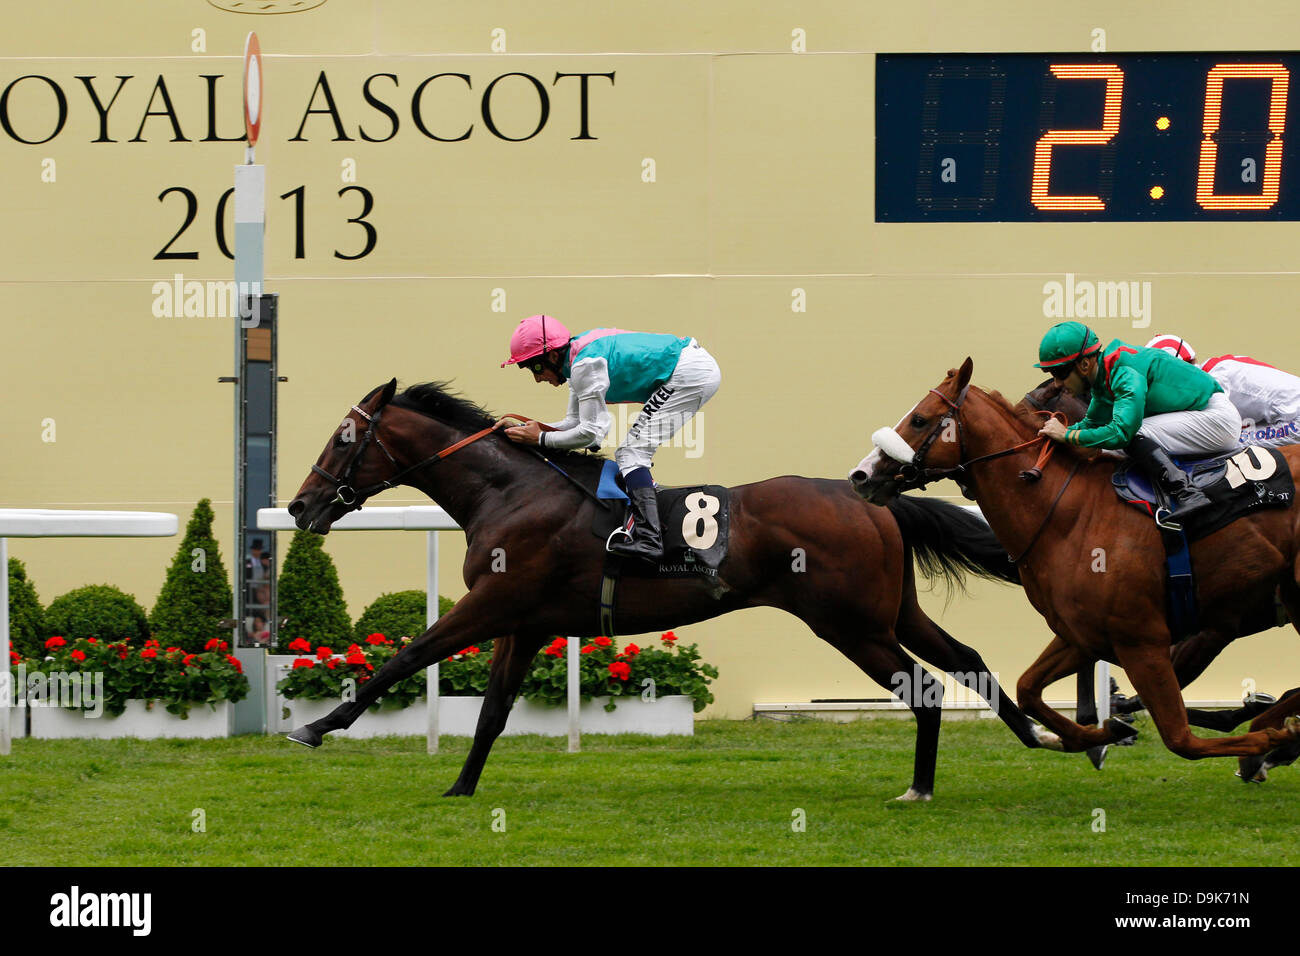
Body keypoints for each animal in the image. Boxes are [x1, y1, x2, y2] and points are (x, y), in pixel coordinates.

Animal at [289, 379, 1060, 801]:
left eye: (344, 438)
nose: (299, 507)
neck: (508, 492)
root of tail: (871, 495)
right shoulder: (525, 623)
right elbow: (490, 713)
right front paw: (461, 786)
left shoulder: (492, 606)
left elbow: (406, 656)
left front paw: (316, 726)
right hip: (890, 611)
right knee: (965, 658)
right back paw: (1041, 735)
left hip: (851, 625)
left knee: (924, 688)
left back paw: (922, 785)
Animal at [847, 358, 1300, 780]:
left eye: (919, 419)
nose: (860, 475)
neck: (1069, 511)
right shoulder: (1083, 634)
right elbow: (1028, 689)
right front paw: (1097, 735)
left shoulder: (1145, 640)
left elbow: (1181, 738)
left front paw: (1268, 738)